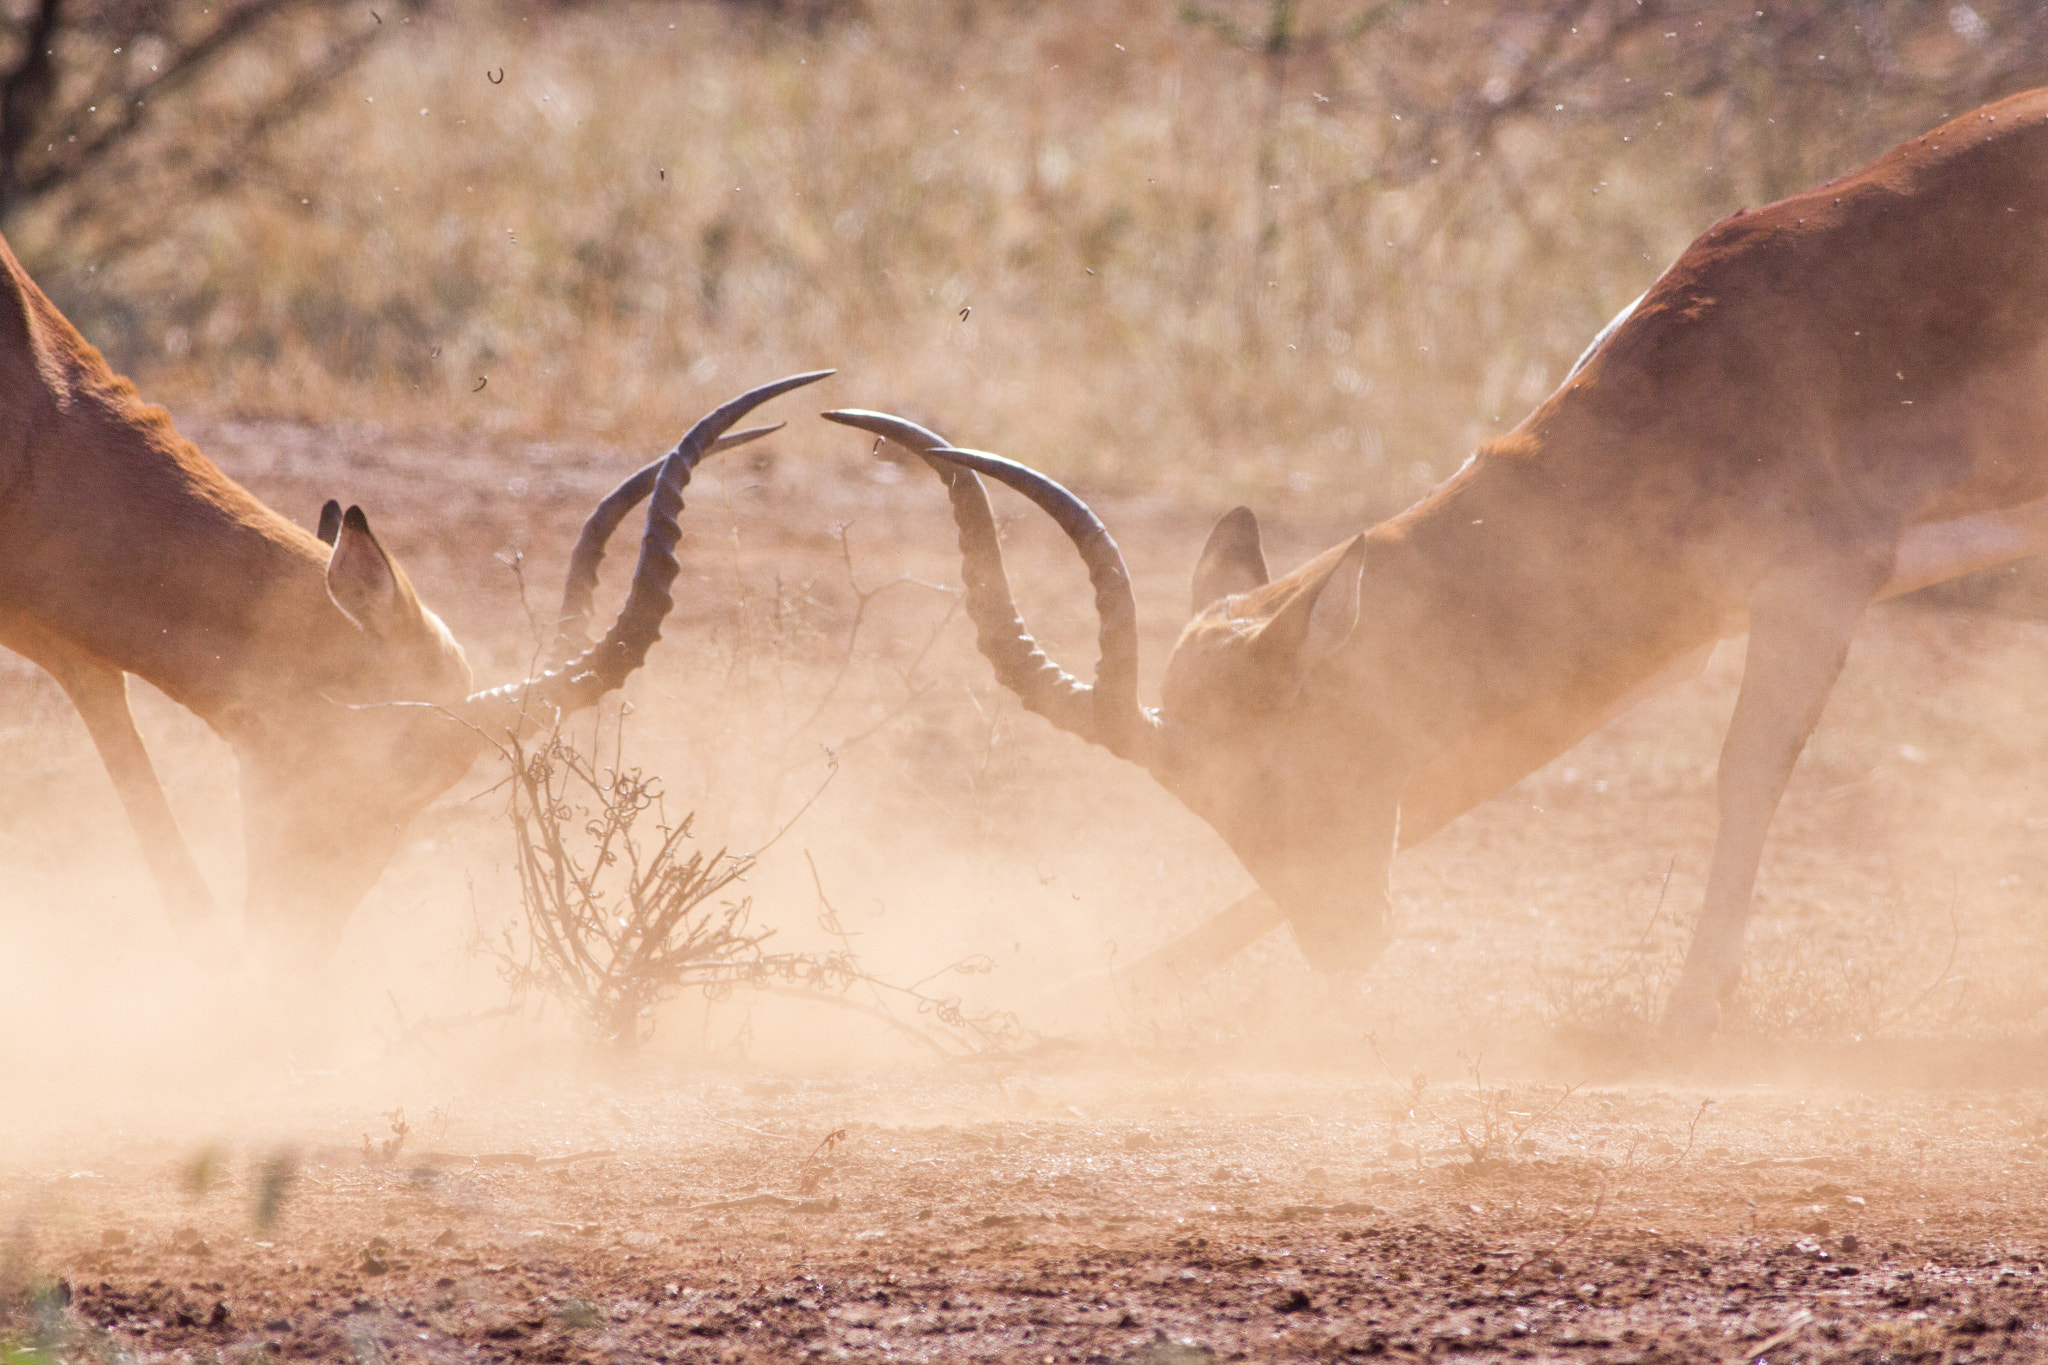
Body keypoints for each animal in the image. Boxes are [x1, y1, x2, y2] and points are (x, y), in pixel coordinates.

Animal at [828, 87, 2048, 1040]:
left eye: (1281, 779)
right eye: (1207, 803)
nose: (1345, 944)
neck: (1715, 367)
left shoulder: (1812, 588)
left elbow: (1743, 772)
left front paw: (1691, 1010)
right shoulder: (1663, 629)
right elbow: (1451, 789)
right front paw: (1070, 997)